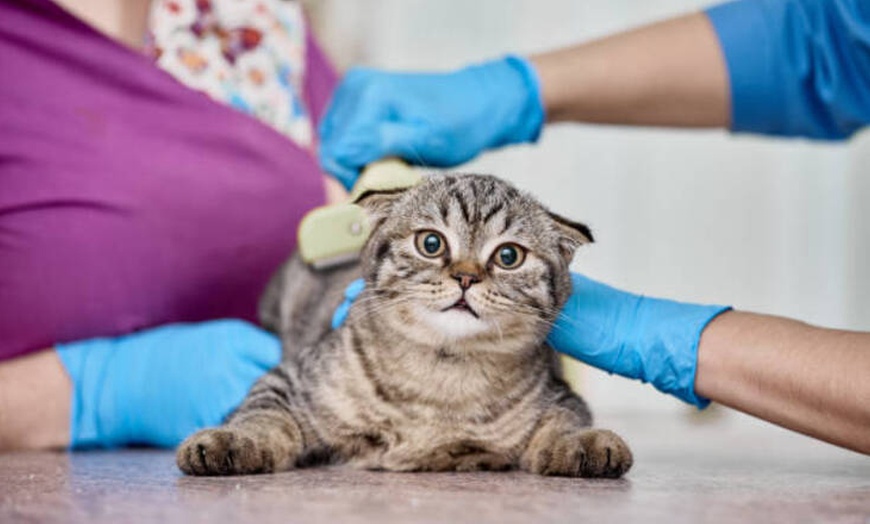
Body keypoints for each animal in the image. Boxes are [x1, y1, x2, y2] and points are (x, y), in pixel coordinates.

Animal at [175, 174, 632, 476]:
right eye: (431, 243)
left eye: (508, 256)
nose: (466, 277)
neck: (441, 376)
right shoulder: (287, 379)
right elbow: (262, 417)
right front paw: (229, 441)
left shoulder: (561, 397)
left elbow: (565, 424)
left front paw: (586, 443)